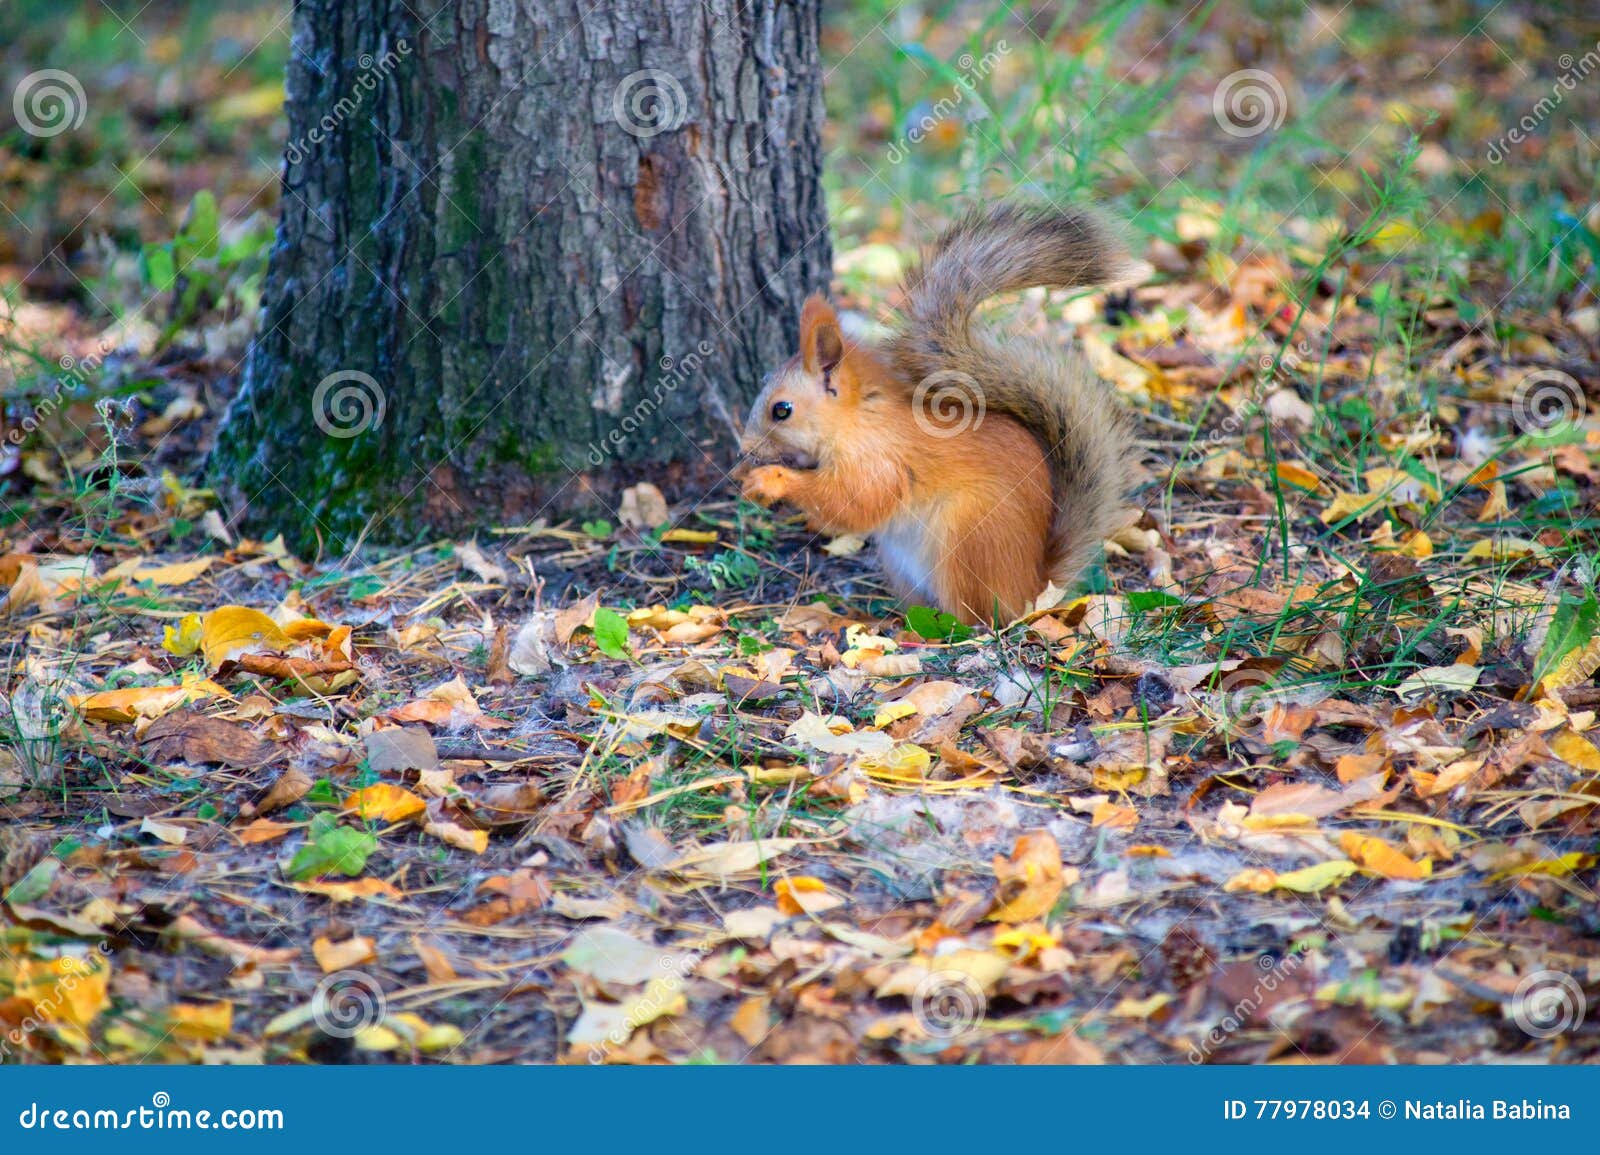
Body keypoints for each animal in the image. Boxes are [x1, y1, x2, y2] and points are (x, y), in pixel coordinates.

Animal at [737, 203, 1137, 625]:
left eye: (781, 410)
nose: (744, 448)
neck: (859, 420)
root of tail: (1034, 591)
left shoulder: (881, 461)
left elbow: (853, 504)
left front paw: (773, 480)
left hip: (966, 540)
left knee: (977, 620)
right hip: (900, 564)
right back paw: (888, 621)